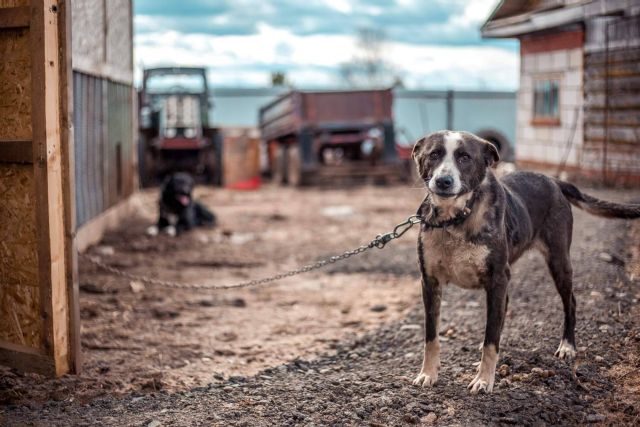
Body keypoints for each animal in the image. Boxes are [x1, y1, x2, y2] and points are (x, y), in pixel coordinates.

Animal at [410, 130, 640, 394]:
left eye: (464, 157)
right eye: (434, 154)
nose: (443, 181)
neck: (455, 219)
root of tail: (553, 181)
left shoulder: (497, 278)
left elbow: (490, 341)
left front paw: (484, 379)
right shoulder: (430, 281)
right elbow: (431, 336)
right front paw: (428, 373)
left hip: (558, 261)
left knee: (570, 301)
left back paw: (567, 346)